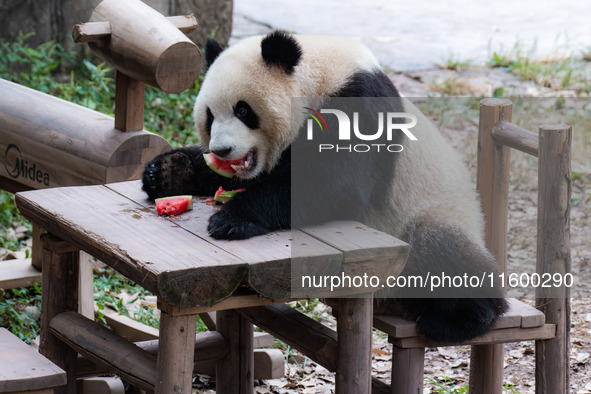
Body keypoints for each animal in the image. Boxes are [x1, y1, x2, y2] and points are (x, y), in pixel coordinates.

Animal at [143, 32, 508, 344]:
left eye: (243, 110)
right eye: (209, 116)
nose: (221, 150)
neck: (321, 75)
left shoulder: (358, 103)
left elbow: (333, 186)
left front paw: (232, 220)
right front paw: (165, 172)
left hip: (428, 219)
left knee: (441, 249)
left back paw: (460, 319)